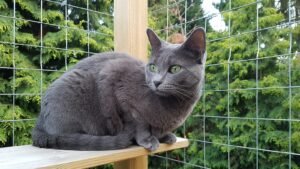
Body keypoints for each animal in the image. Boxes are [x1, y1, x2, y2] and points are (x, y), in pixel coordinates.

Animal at [32, 27, 206, 152]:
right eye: (153, 67)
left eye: (175, 69)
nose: (156, 82)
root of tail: (39, 122)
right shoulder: (116, 83)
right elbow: (138, 123)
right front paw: (147, 140)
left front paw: (166, 136)